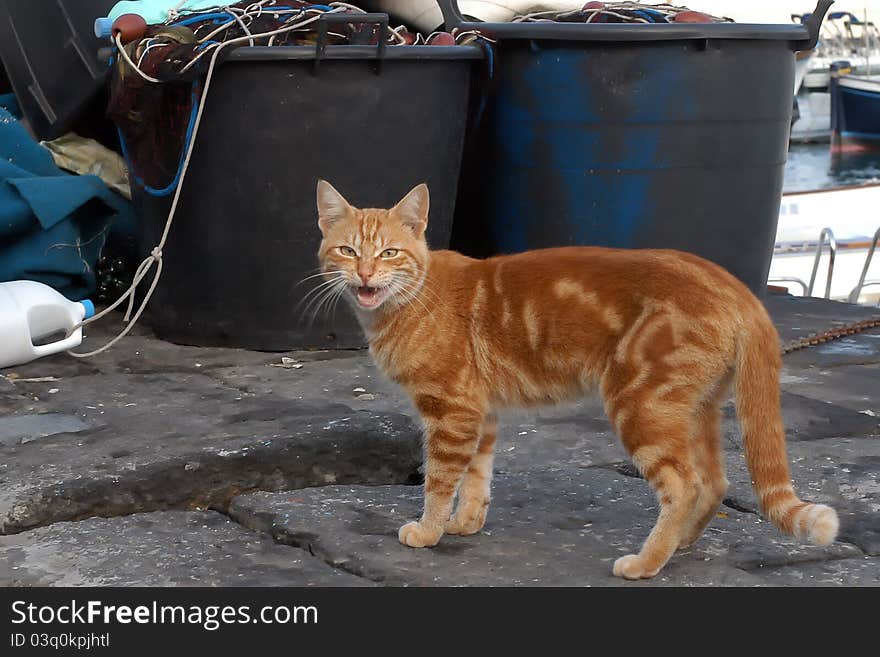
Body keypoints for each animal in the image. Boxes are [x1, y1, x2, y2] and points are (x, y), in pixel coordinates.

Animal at [314, 179, 840, 580]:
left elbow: (441, 481)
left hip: (640, 403)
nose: (364, 275)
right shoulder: (480, 413)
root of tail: (736, 287)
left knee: (684, 485)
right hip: (693, 409)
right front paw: (465, 523)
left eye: (388, 253)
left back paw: (647, 562)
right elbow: (477, 477)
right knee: (714, 481)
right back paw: (680, 544)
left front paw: (428, 530)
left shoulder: (451, 411)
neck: (410, 300)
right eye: (347, 250)